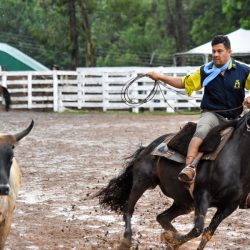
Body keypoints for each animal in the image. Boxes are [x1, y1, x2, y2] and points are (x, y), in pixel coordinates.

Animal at [96, 112, 250, 250]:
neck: (234, 160)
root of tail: (148, 148)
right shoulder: (202, 196)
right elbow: (197, 229)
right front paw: (172, 242)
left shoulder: (229, 206)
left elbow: (207, 234)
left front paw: (171, 241)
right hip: (142, 182)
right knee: (129, 208)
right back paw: (126, 241)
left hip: (185, 202)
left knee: (162, 217)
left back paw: (169, 236)